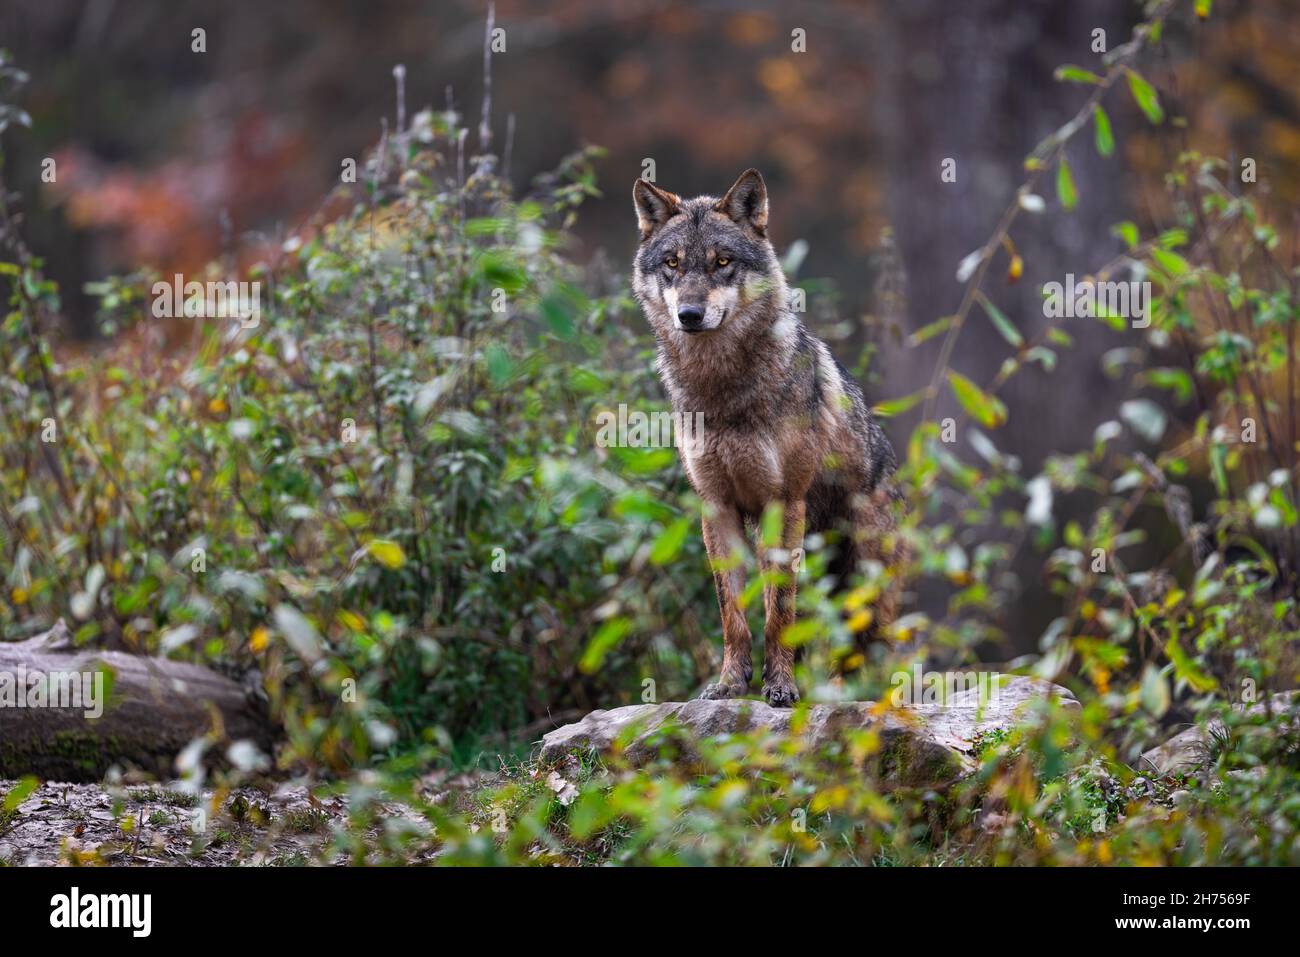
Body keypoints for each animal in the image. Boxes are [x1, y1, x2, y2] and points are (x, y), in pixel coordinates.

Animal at [631, 169, 906, 707]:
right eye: (673, 263)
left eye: (722, 262)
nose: (689, 314)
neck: (723, 390)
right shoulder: (717, 505)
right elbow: (732, 613)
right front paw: (729, 684)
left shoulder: (784, 502)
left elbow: (779, 611)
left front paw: (779, 687)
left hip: (863, 579)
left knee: (874, 651)